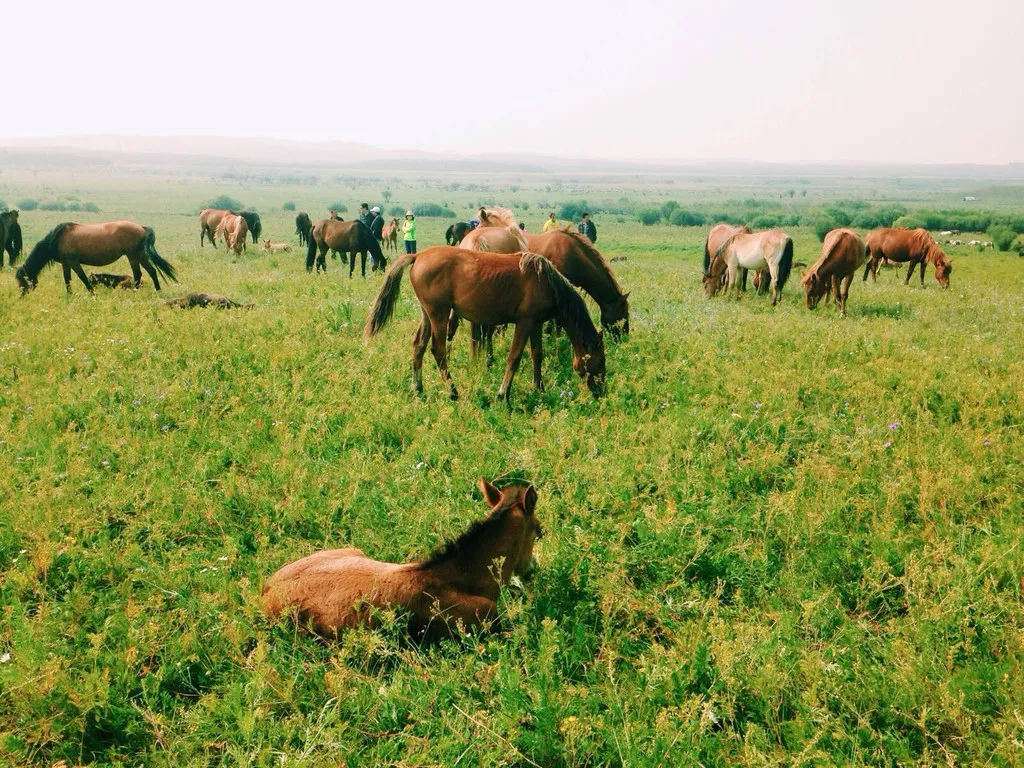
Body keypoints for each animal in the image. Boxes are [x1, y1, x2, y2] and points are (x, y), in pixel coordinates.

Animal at [16, 224, 177, 296]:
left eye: (23, 282)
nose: (22, 296)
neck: (56, 239)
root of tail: (142, 228)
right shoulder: (66, 264)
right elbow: (67, 280)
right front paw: (69, 296)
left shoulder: (74, 262)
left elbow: (83, 278)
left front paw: (93, 294)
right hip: (140, 256)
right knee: (152, 271)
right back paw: (157, 291)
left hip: (133, 256)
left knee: (138, 274)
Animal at [364, 247, 606, 405]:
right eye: (601, 360)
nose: (602, 391)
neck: (545, 281)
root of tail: (418, 256)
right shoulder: (525, 322)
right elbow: (514, 357)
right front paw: (503, 395)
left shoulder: (536, 324)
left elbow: (537, 355)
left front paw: (539, 388)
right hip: (439, 315)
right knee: (438, 351)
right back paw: (453, 392)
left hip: (427, 315)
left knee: (418, 347)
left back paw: (418, 388)